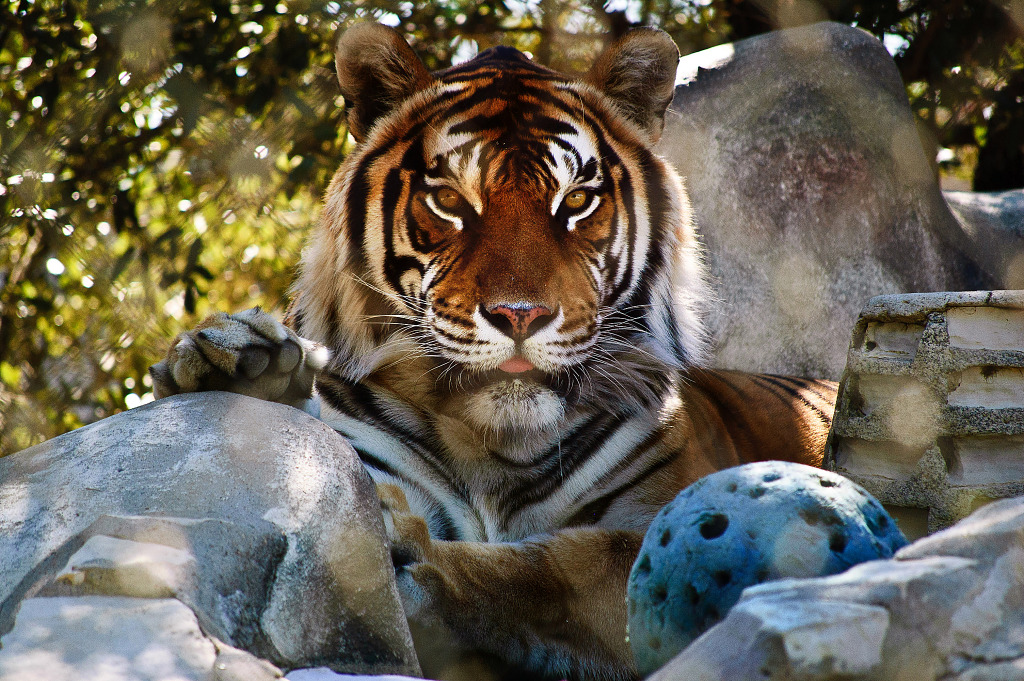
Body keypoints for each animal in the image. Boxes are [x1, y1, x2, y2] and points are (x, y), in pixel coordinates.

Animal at [150, 22, 837, 681]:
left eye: (576, 201)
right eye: (451, 201)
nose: (519, 314)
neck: (493, 444)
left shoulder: (666, 510)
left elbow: (562, 566)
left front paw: (409, 549)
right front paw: (240, 361)